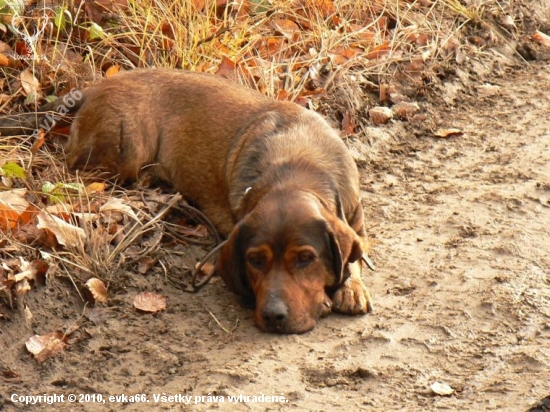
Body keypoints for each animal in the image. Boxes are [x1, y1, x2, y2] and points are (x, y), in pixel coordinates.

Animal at [1, 70, 376, 334]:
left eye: (305, 259)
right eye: (255, 261)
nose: (273, 316)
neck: (296, 168)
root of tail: (92, 88)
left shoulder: (356, 223)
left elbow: (356, 256)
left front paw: (352, 287)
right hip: (126, 148)